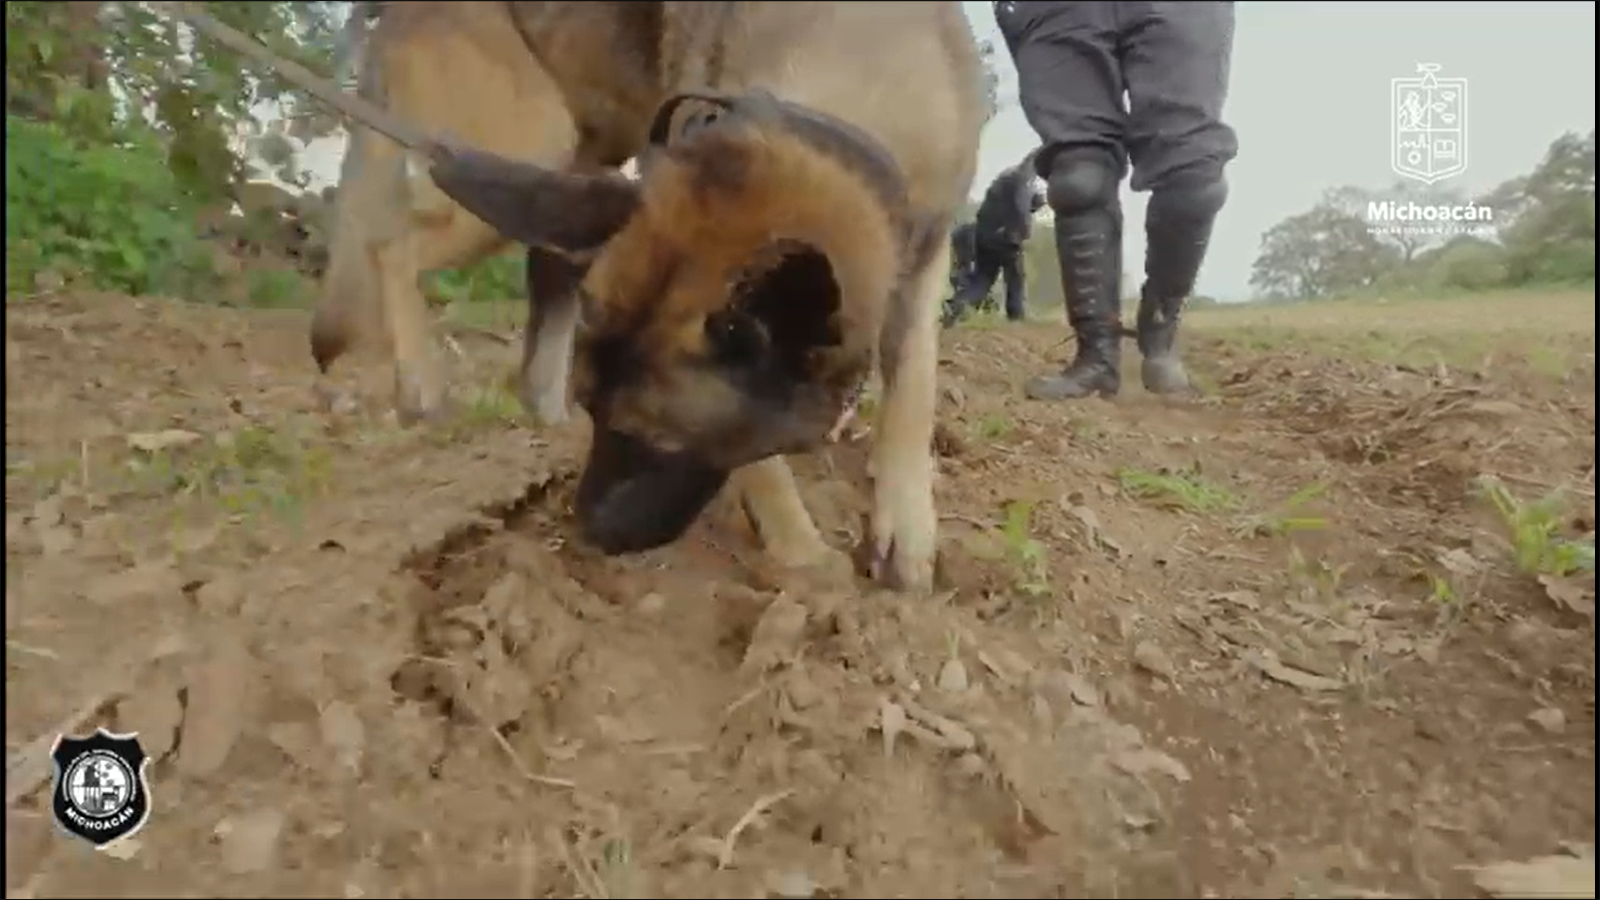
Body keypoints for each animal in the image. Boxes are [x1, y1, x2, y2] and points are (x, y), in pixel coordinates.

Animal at [297, 1, 972, 589]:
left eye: (663, 443)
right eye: (599, 412)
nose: (585, 535)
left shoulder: (929, 248)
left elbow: (915, 383)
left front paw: (905, 521)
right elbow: (764, 464)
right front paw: (801, 550)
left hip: (571, 165)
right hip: (531, 142)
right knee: (391, 246)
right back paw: (421, 382)